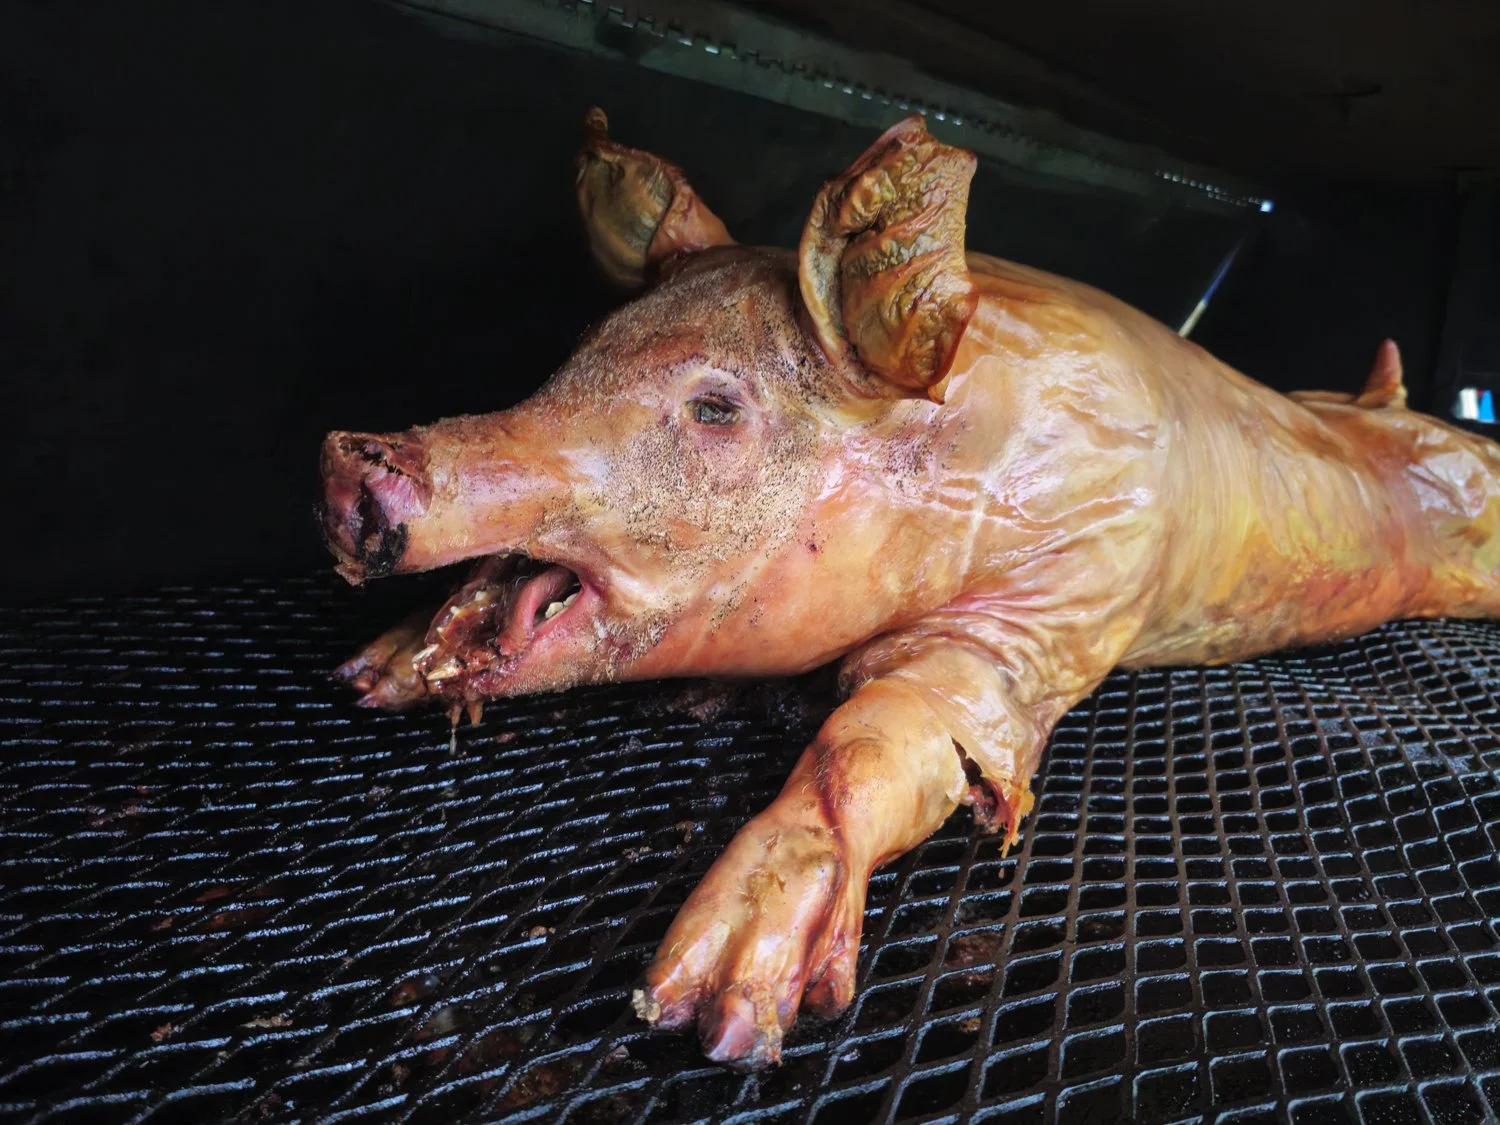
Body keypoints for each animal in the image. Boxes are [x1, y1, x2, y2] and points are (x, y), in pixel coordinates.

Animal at [320, 107, 1500, 1069]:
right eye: (578, 350)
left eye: (715, 407)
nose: (355, 462)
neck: (963, 450)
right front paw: (371, 673)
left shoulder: (1065, 599)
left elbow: (896, 733)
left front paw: (707, 1013)